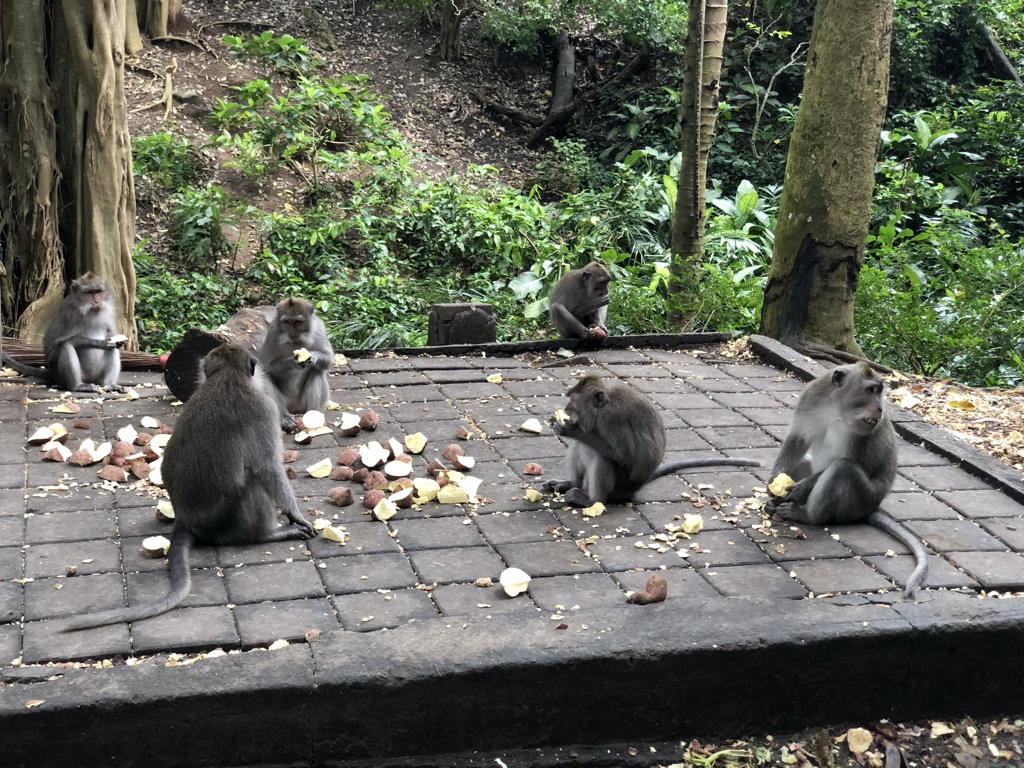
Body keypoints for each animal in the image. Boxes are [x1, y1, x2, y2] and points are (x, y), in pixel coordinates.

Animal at [64, 343, 315, 631]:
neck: (227, 378)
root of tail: (186, 520)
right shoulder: (264, 409)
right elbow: (268, 467)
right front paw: (297, 516)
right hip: (225, 524)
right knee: (252, 479)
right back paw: (266, 535)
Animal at [257, 297, 333, 430]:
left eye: (297, 322)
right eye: (287, 322)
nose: (292, 334)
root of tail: (294, 408)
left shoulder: (319, 328)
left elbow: (327, 359)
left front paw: (313, 357)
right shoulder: (273, 332)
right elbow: (267, 365)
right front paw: (292, 362)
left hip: (302, 403)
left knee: (318, 370)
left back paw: (312, 416)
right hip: (286, 403)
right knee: (266, 375)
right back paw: (285, 418)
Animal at [542, 374, 761, 507]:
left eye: (572, 401)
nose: (566, 408)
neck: (601, 410)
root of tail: (635, 489)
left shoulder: (614, 419)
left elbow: (621, 454)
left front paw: (570, 430)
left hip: (620, 487)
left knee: (602, 457)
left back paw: (592, 500)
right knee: (581, 448)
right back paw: (571, 484)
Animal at [764, 361, 929, 598]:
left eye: (880, 390)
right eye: (871, 390)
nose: (880, 408)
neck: (838, 408)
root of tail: (873, 507)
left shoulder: (864, 431)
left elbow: (851, 463)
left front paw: (796, 491)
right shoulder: (811, 398)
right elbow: (798, 440)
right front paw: (773, 484)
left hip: (861, 500)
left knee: (843, 469)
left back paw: (805, 514)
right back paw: (774, 505)